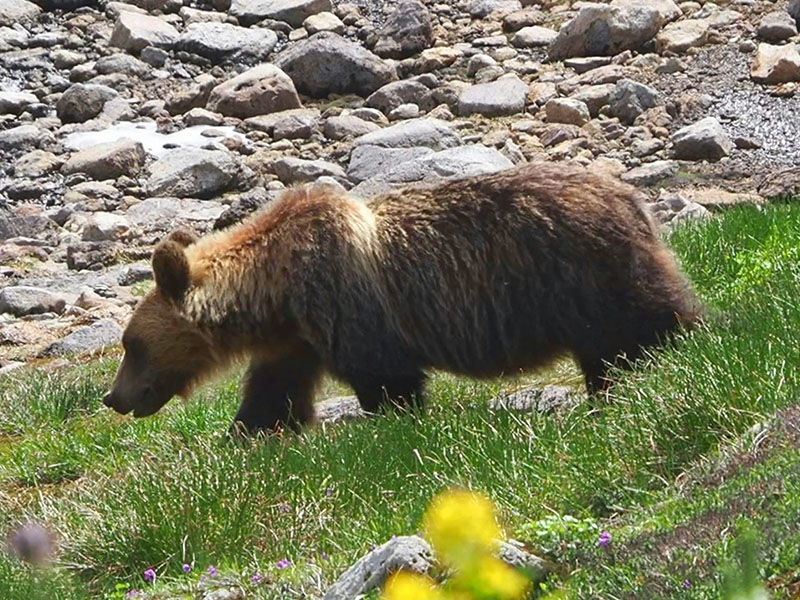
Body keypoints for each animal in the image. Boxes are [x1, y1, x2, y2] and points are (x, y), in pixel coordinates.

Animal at [101, 159, 700, 432]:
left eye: (133, 345)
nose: (113, 397)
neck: (277, 291)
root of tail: (631, 198)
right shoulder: (297, 340)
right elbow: (273, 397)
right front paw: (247, 436)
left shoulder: (346, 302)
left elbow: (388, 380)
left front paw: (392, 424)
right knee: (608, 353)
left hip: (587, 275)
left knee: (650, 322)